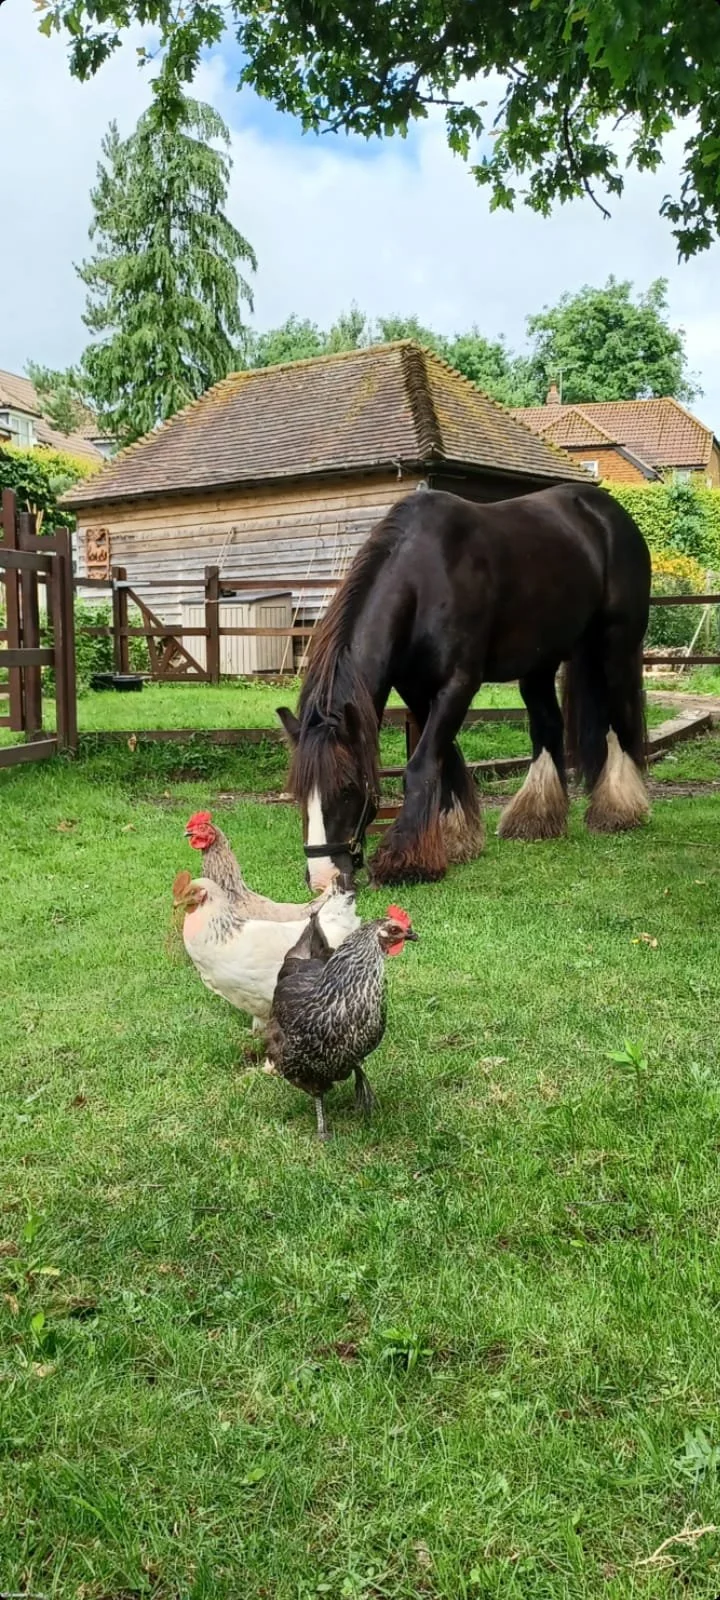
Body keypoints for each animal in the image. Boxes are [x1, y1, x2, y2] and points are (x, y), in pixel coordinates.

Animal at [277, 483, 651, 888]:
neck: (424, 577)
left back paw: (618, 808)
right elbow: (445, 761)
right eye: (299, 794)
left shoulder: (458, 684)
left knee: (619, 721)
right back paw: (536, 816)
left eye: (347, 789)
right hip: (540, 662)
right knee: (549, 726)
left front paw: (405, 861)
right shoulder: (417, 689)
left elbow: (422, 765)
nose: (323, 876)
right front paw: (456, 838)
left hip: (615, 647)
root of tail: (609, 512)